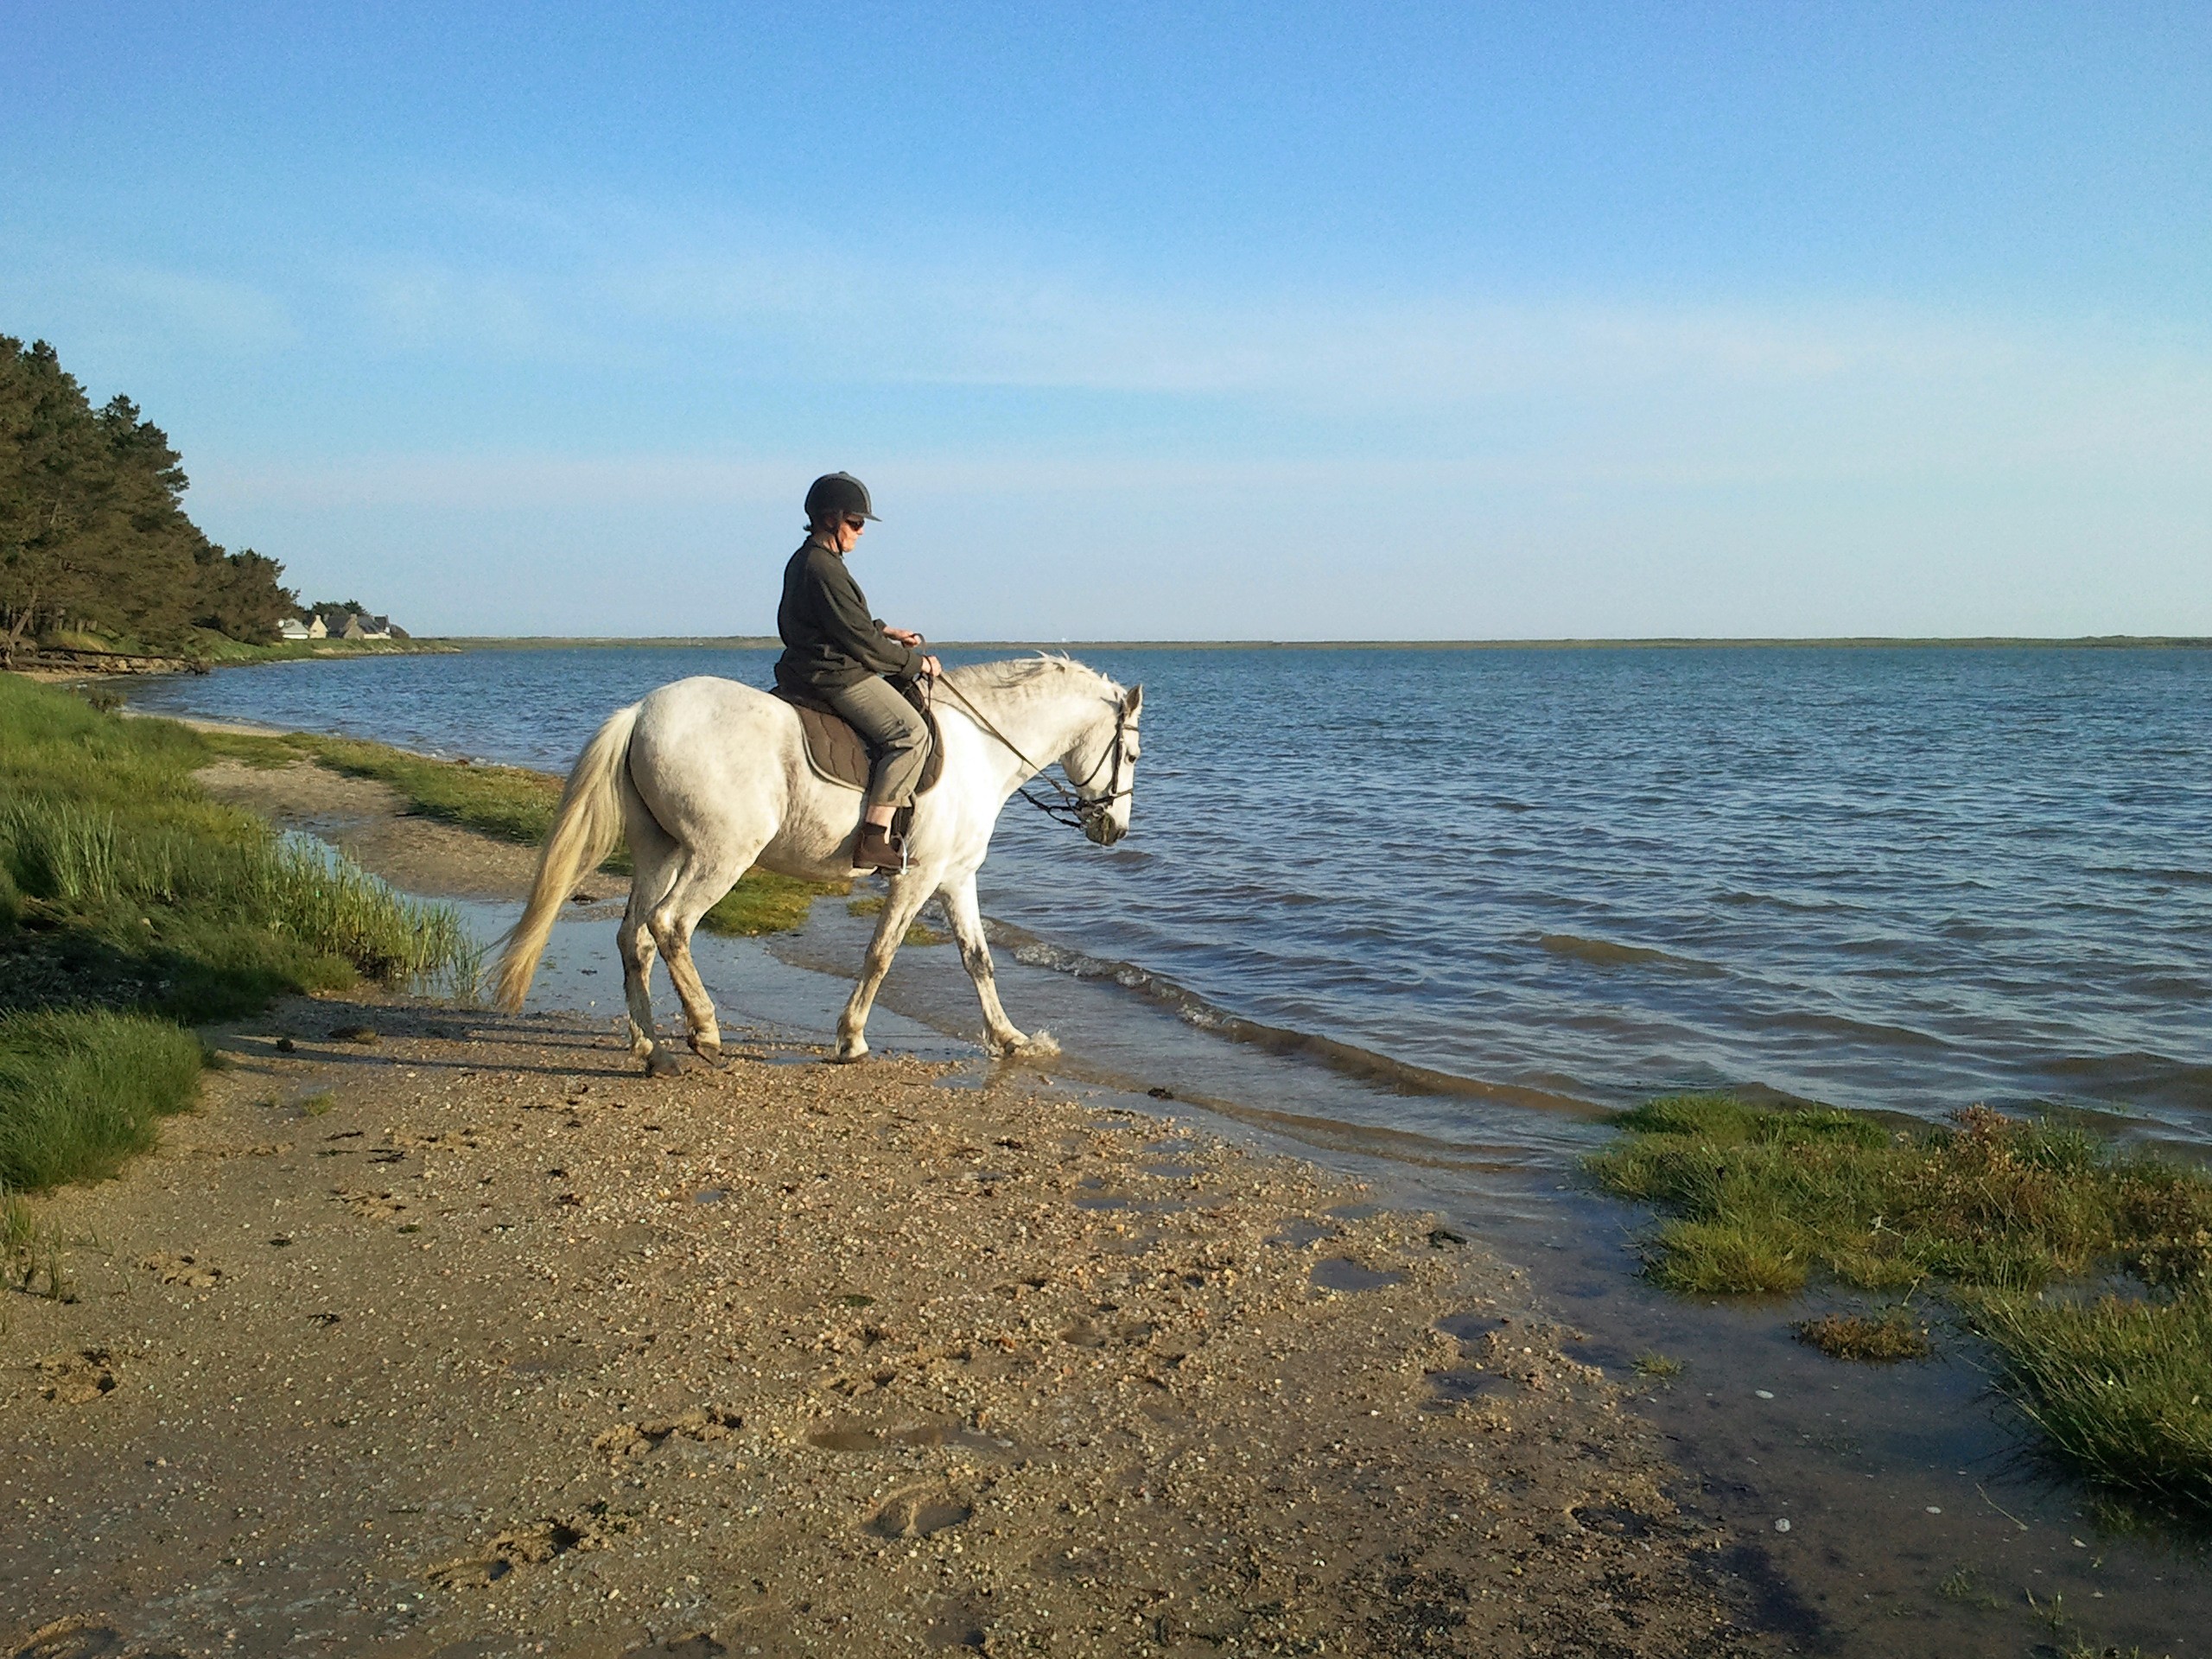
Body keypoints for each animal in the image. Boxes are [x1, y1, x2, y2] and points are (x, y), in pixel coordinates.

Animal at [486, 654, 1141, 1071]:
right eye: (1131, 754)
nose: (1113, 829)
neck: (980, 748)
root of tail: (642, 711)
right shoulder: (920, 876)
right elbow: (881, 956)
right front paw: (851, 1040)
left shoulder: (956, 877)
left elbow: (977, 960)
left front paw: (1010, 1039)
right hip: (721, 855)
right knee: (670, 925)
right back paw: (705, 1031)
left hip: (661, 851)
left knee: (634, 938)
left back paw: (652, 1048)